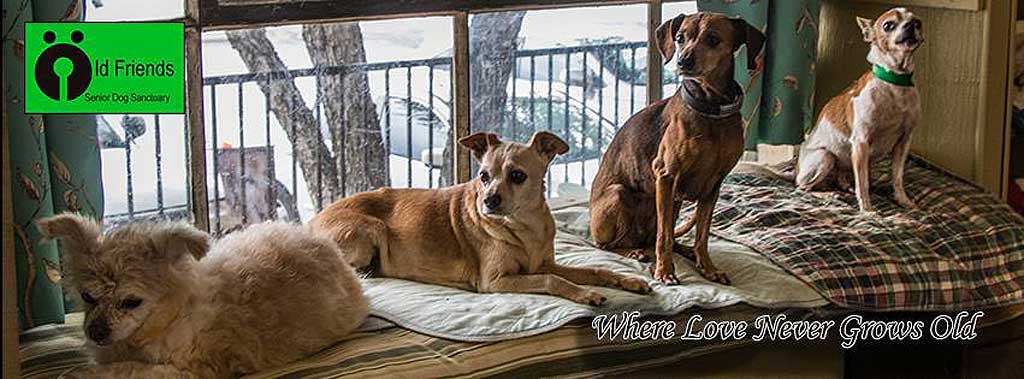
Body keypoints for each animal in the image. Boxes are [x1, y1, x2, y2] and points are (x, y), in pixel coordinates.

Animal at [38, 215, 368, 376]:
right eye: (88, 297)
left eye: (132, 302)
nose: (95, 332)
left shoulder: (189, 370)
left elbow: (127, 371)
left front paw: (80, 373)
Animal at [307, 132, 651, 307]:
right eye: (483, 176)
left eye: (517, 175)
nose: (488, 201)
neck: (524, 227)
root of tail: (311, 223)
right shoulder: (496, 281)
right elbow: (553, 281)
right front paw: (585, 294)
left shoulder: (543, 264)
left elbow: (594, 269)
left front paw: (628, 280)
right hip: (372, 228)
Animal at [589, 11, 765, 284]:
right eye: (680, 37)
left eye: (713, 39)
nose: (683, 61)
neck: (711, 109)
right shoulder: (666, 175)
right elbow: (664, 236)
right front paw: (664, 272)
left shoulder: (713, 186)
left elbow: (702, 234)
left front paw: (707, 266)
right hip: (620, 195)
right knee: (613, 244)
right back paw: (634, 252)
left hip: (675, 203)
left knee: (662, 236)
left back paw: (685, 250)